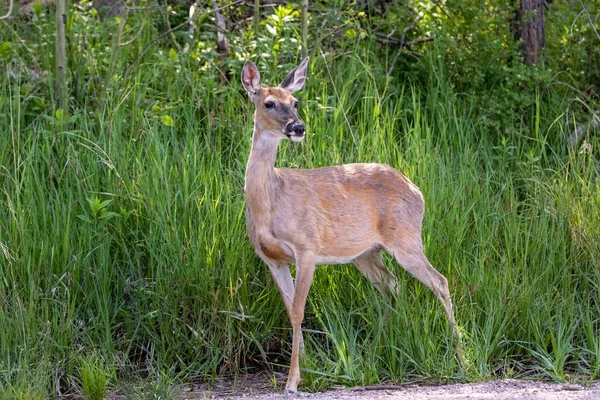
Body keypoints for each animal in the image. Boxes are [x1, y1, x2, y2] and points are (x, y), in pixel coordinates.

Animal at [241, 56, 462, 394]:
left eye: (295, 101)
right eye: (268, 103)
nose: (298, 127)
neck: (271, 202)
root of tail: (417, 190)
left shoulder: (307, 247)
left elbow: (299, 310)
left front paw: (293, 381)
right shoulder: (271, 259)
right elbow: (290, 308)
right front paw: (308, 369)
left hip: (406, 238)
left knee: (440, 281)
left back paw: (460, 357)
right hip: (366, 253)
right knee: (392, 284)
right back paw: (379, 351)